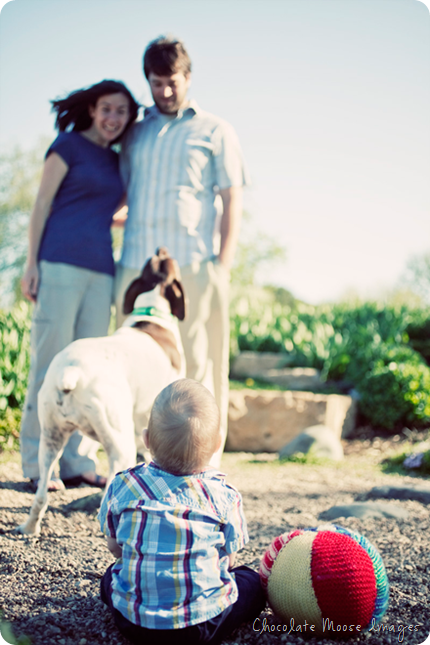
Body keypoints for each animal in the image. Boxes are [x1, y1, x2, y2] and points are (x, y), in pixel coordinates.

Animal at [18, 247, 185, 532]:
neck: (152, 310)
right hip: (119, 441)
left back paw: (29, 527)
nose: (160, 249)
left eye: (157, 261)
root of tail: (71, 371)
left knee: (41, 493)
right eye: (169, 260)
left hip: (50, 440)